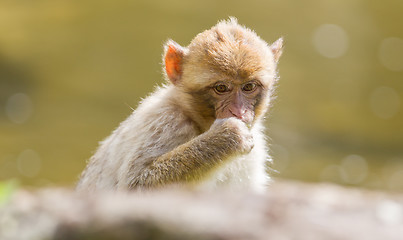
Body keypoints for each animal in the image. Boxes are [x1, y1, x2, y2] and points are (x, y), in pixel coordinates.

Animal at [76, 17, 284, 192]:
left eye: (249, 87)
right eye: (221, 88)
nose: (239, 112)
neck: (198, 122)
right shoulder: (165, 122)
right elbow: (136, 184)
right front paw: (226, 138)